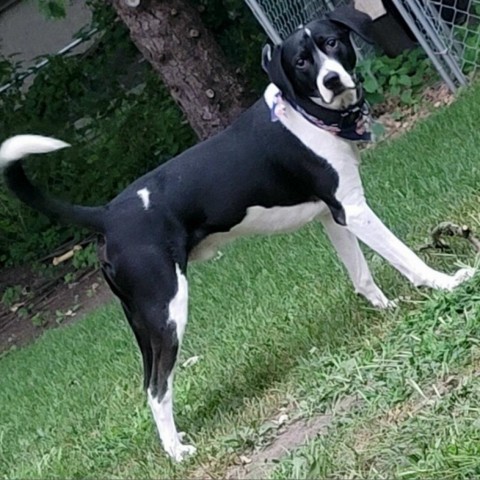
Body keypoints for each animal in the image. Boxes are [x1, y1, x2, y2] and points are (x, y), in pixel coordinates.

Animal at [0, 4, 472, 462]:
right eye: (301, 62)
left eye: (331, 43)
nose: (332, 79)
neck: (308, 114)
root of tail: (108, 215)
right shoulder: (354, 210)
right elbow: (406, 257)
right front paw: (447, 283)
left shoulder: (332, 215)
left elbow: (362, 276)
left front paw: (387, 309)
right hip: (168, 311)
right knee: (157, 388)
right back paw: (177, 453)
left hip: (143, 321)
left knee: (149, 382)